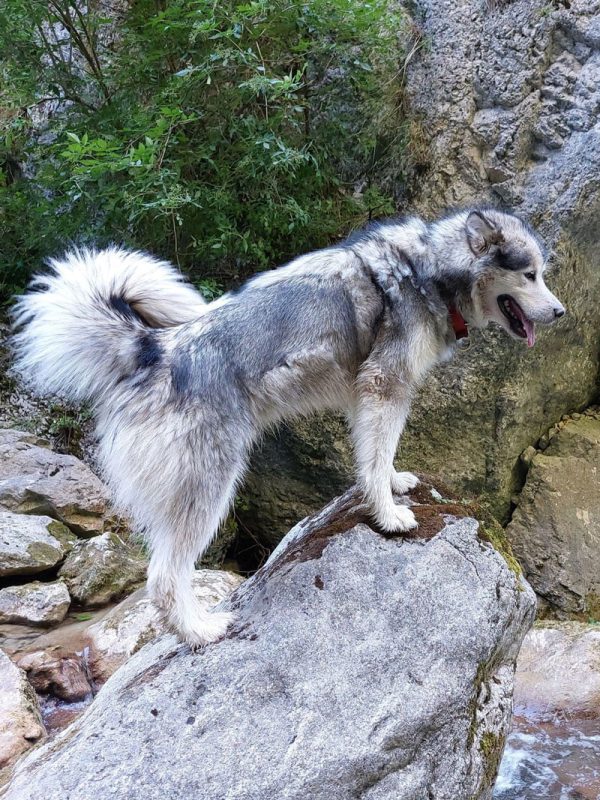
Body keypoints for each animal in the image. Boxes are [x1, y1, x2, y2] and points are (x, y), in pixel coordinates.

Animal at [14, 206, 568, 644]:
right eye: (530, 274)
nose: (562, 312)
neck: (427, 271)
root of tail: (155, 348)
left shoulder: (368, 399)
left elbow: (377, 456)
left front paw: (391, 485)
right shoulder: (385, 387)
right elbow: (375, 458)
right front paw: (388, 516)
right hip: (207, 489)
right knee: (164, 577)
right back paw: (199, 631)